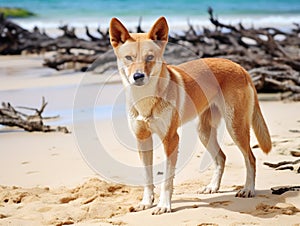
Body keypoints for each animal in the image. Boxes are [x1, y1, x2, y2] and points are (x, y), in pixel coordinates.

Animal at [109, 16, 270, 215]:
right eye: (128, 58)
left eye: (150, 57)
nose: (138, 76)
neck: (146, 99)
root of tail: (240, 67)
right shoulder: (142, 139)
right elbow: (147, 177)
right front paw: (146, 202)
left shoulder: (171, 140)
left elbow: (167, 180)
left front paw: (164, 205)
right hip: (204, 131)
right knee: (221, 158)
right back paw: (212, 187)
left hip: (235, 127)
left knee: (251, 158)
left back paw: (248, 189)